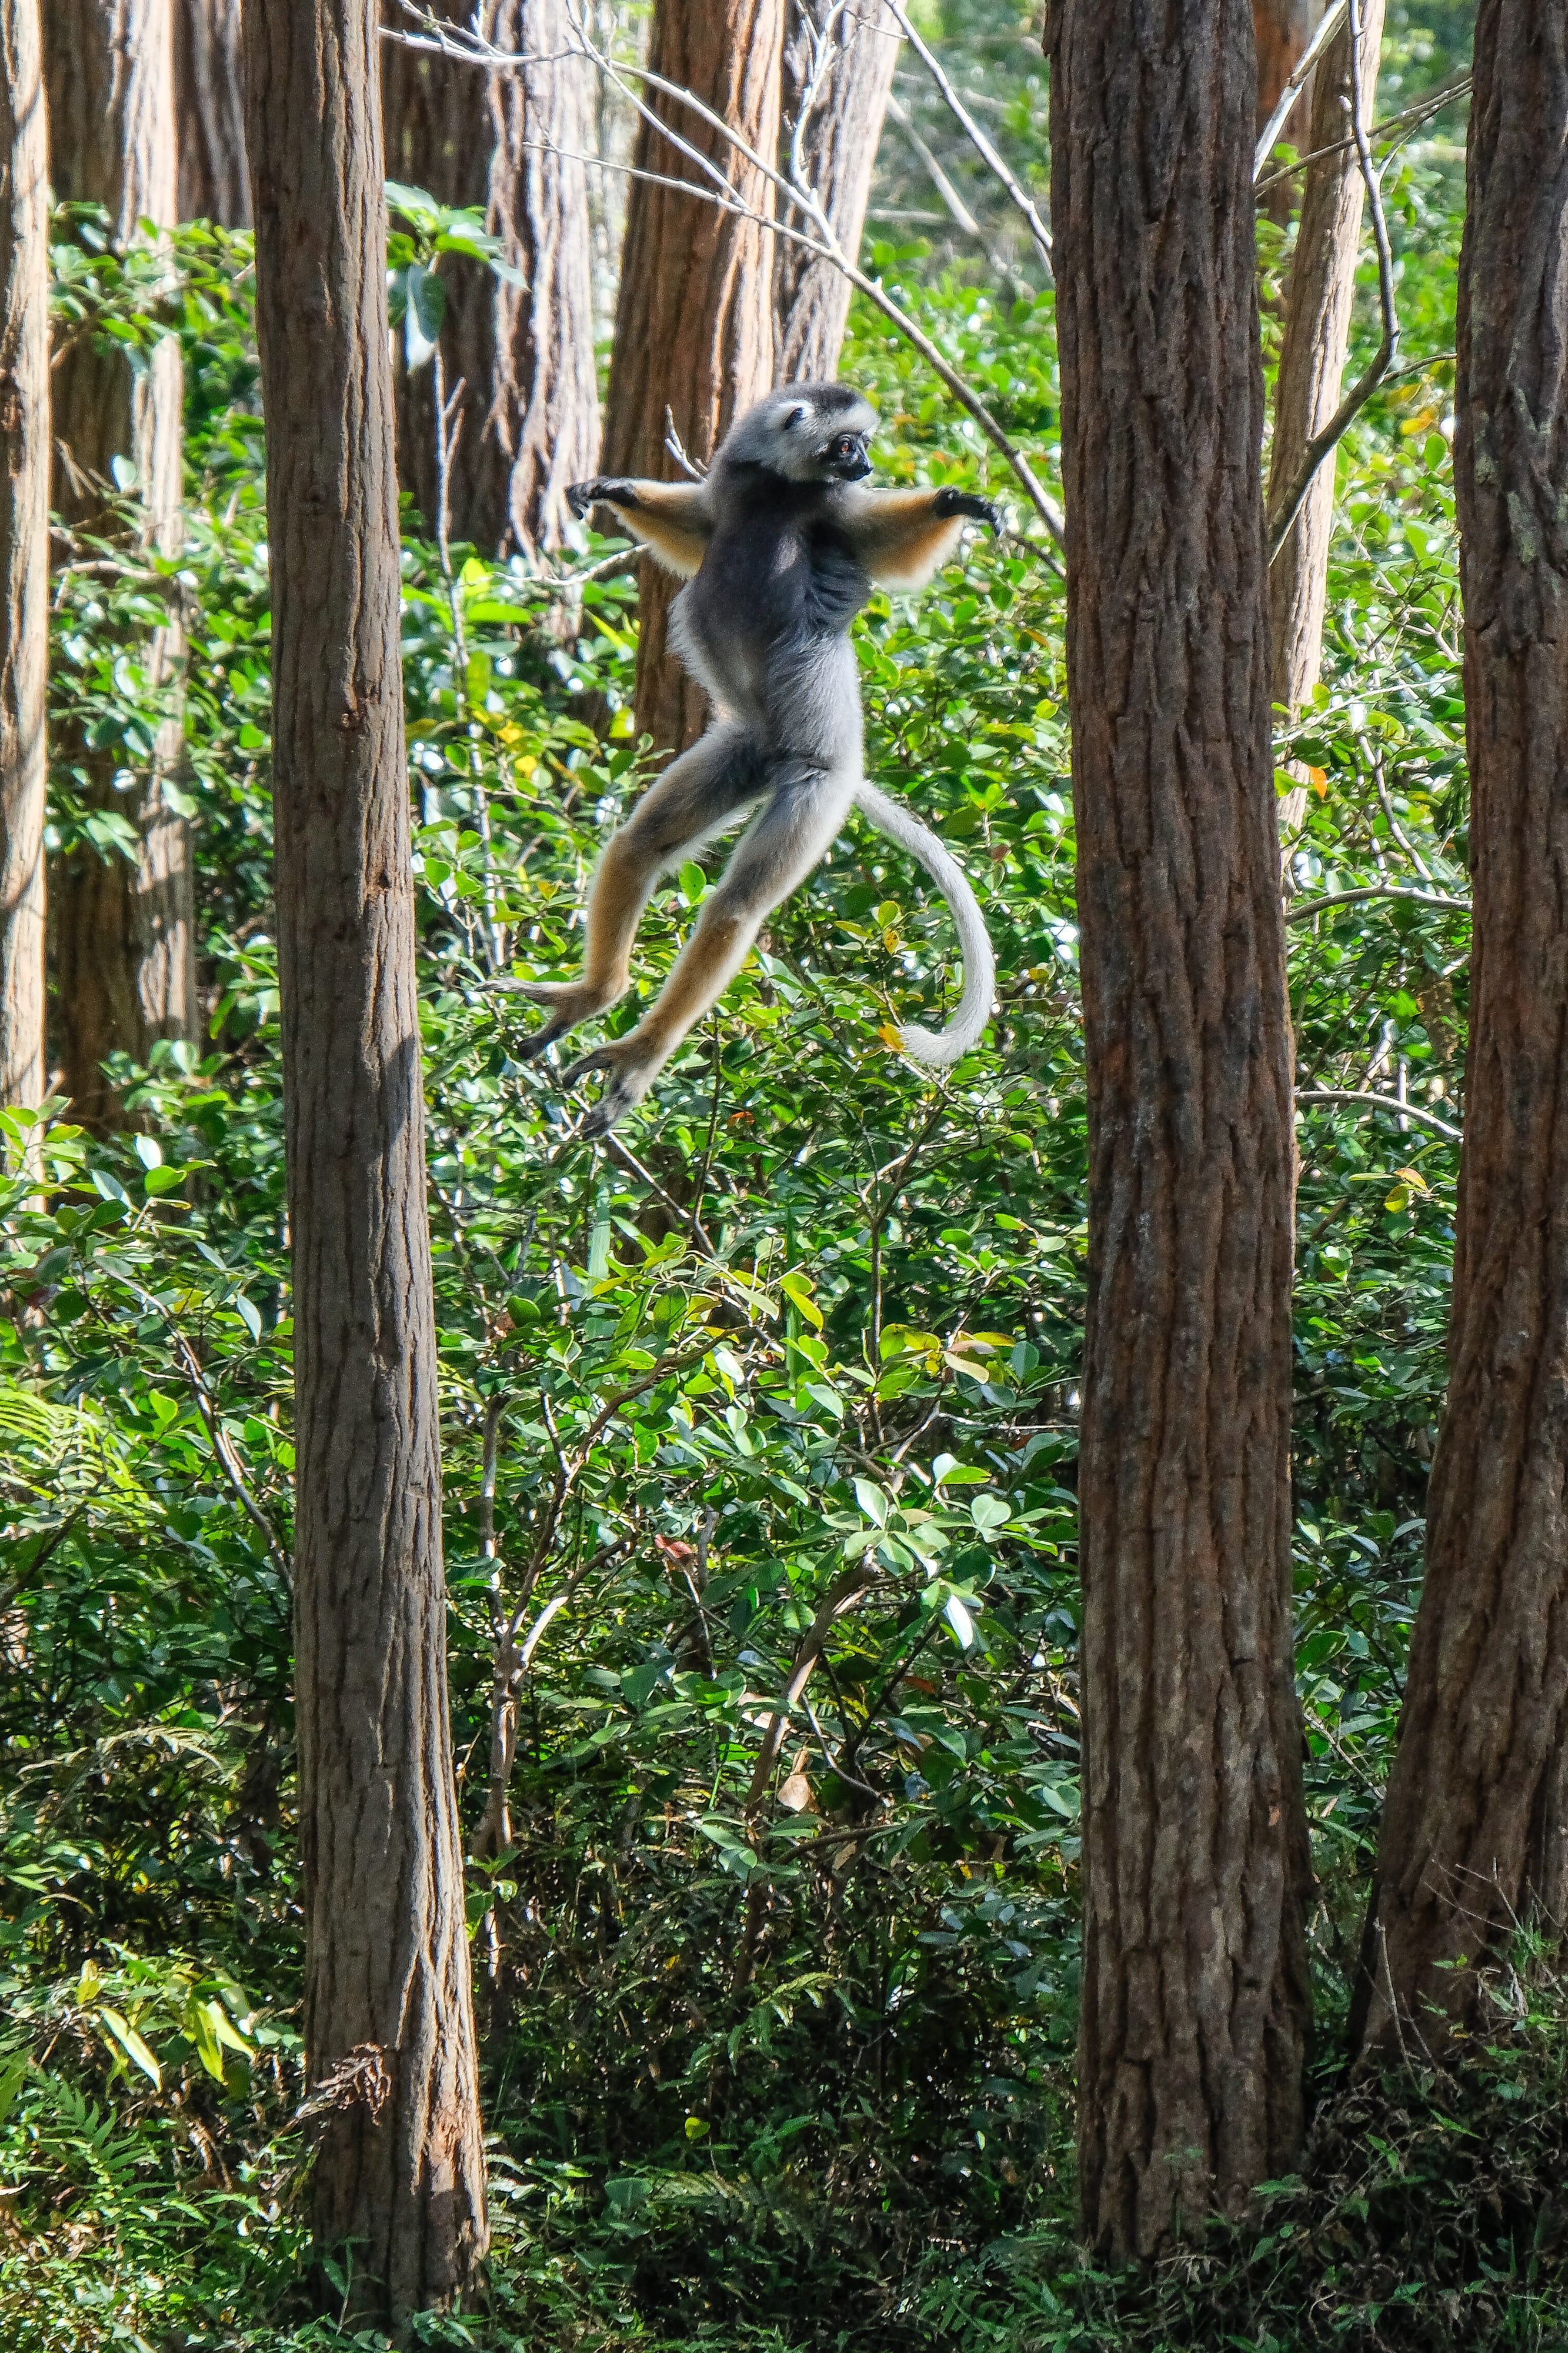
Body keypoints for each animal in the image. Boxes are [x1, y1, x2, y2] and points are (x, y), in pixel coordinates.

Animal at [515, 383, 1001, 1136]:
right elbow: (696, 530)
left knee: (735, 907)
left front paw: (956, 504)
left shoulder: (834, 516)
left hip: (817, 783)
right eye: (846, 444)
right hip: (740, 749)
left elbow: (885, 548)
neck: (779, 492)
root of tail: (785, 753)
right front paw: (614, 490)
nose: (865, 465)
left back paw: (642, 1055)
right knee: (639, 845)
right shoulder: (734, 490)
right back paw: (597, 994)